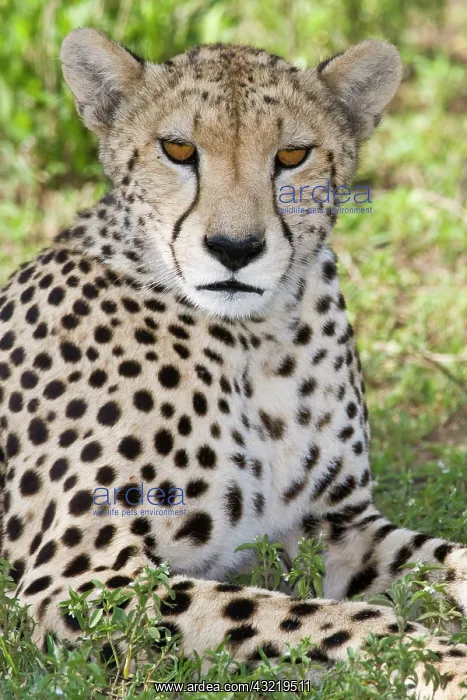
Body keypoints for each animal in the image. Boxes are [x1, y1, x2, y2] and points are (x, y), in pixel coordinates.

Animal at [0, 28, 466, 698]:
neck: (254, 342)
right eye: (177, 149)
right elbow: (331, 619)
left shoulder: (334, 526)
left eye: (293, 155)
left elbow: (446, 561)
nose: (235, 248)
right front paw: (445, 664)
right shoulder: (76, 577)